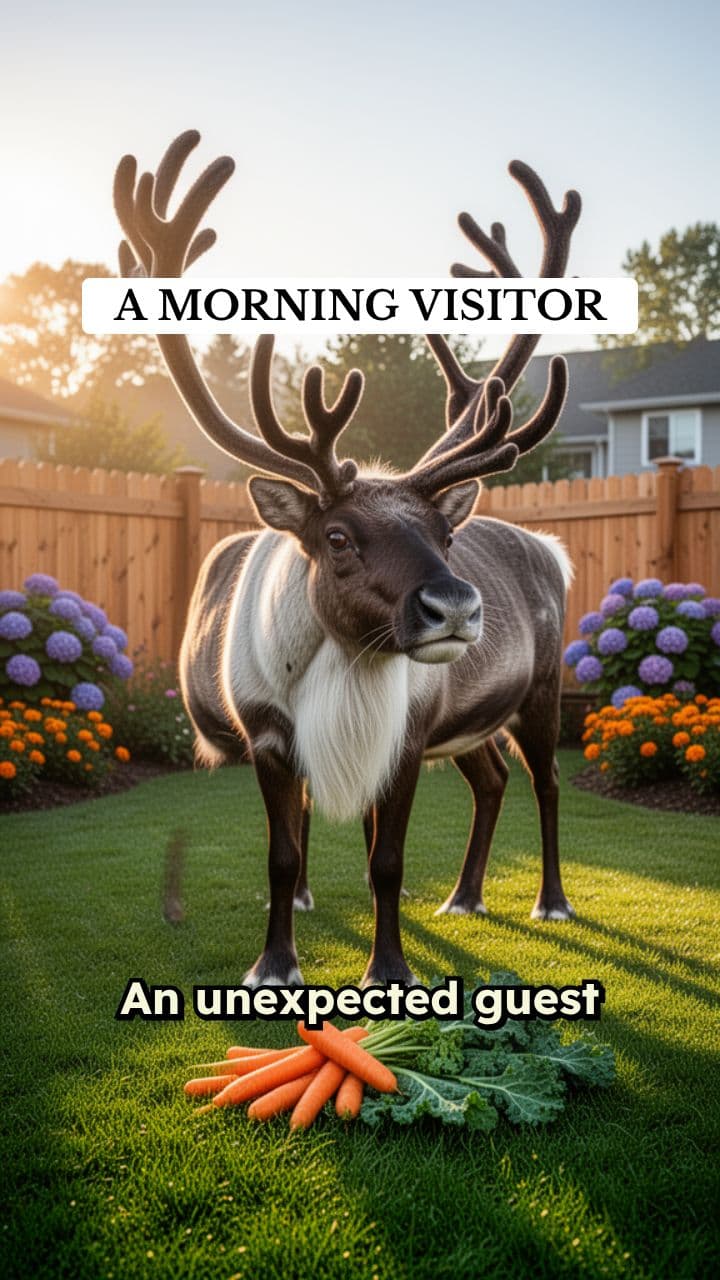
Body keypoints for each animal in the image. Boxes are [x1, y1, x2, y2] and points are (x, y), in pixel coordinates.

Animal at [112, 131, 581, 987]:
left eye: (444, 533)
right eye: (336, 537)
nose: (457, 607)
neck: (339, 666)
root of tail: (551, 549)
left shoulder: (404, 738)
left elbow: (386, 860)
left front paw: (388, 969)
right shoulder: (269, 738)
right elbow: (283, 856)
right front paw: (274, 962)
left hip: (541, 689)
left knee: (548, 781)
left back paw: (551, 901)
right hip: (470, 721)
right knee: (494, 779)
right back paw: (463, 896)